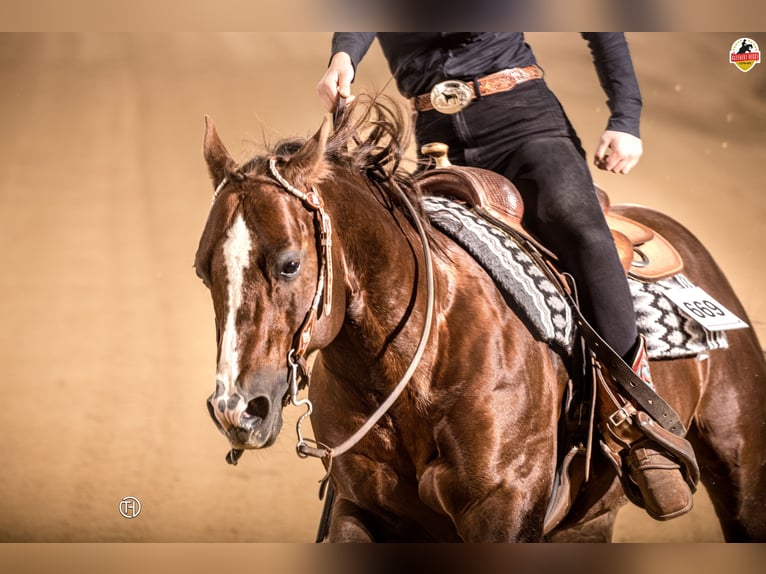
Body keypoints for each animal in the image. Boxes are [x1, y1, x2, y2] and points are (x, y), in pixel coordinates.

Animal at [194, 96, 766, 542]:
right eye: (203, 270)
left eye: (290, 263)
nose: (236, 410)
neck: (420, 363)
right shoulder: (364, 510)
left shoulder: (504, 510)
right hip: (589, 521)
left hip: (743, 468)